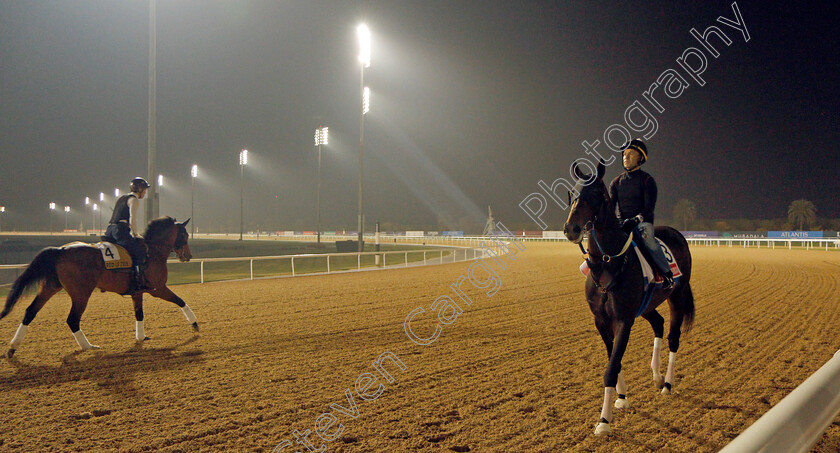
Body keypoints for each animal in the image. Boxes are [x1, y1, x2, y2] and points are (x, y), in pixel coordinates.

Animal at [1, 216, 199, 356]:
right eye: (184, 235)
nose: (188, 255)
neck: (152, 252)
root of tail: (61, 250)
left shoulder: (138, 292)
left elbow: (139, 314)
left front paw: (141, 337)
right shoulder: (158, 289)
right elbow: (181, 301)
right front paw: (195, 324)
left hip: (50, 287)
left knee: (30, 311)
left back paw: (13, 347)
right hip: (81, 294)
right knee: (72, 319)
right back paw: (88, 346)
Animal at [564, 161, 696, 436]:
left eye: (596, 193)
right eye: (572, 192)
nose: (571, 229)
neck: (608, 264)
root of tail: (677, 234)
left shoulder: (624, 319)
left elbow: (612, 367)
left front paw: (604, 421)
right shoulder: (601, 320)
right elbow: (613, 359)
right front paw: (622, 397)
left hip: (677, 296)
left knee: (674, 337)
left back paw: (667, 384)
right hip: (646, 305)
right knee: (658, 323)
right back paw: (656, 376)